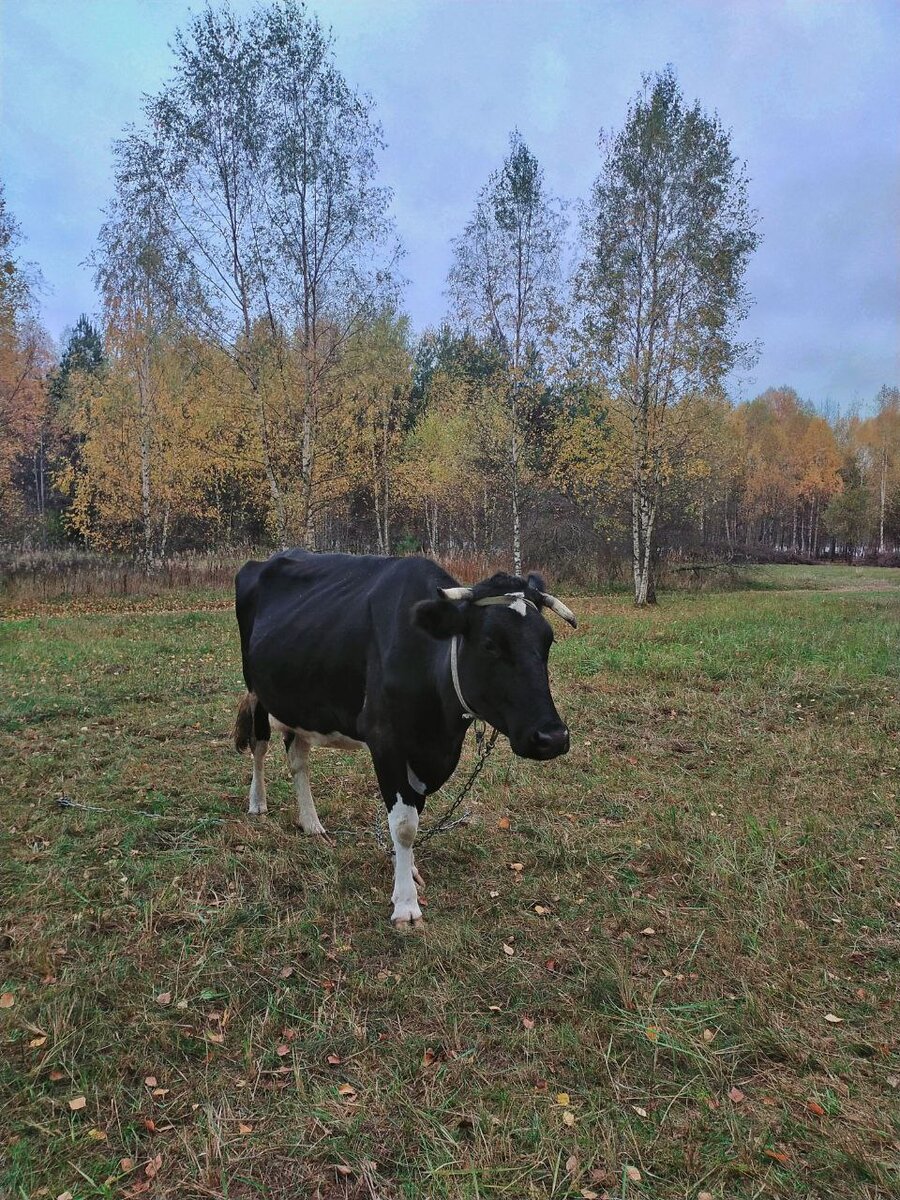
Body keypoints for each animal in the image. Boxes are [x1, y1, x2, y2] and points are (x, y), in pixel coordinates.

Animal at [237, 552, 578, 926]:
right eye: (490, 644)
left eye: (548, 641)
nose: (552, 737)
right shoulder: (385, 740)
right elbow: (403, 824)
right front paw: (405, 904)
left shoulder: (427, 753)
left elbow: (416, 812)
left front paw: (409, 869)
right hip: (256, 690)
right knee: (259, 746)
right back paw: (257, 802)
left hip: (298, 700)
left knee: (298, 758)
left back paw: (312, 824)